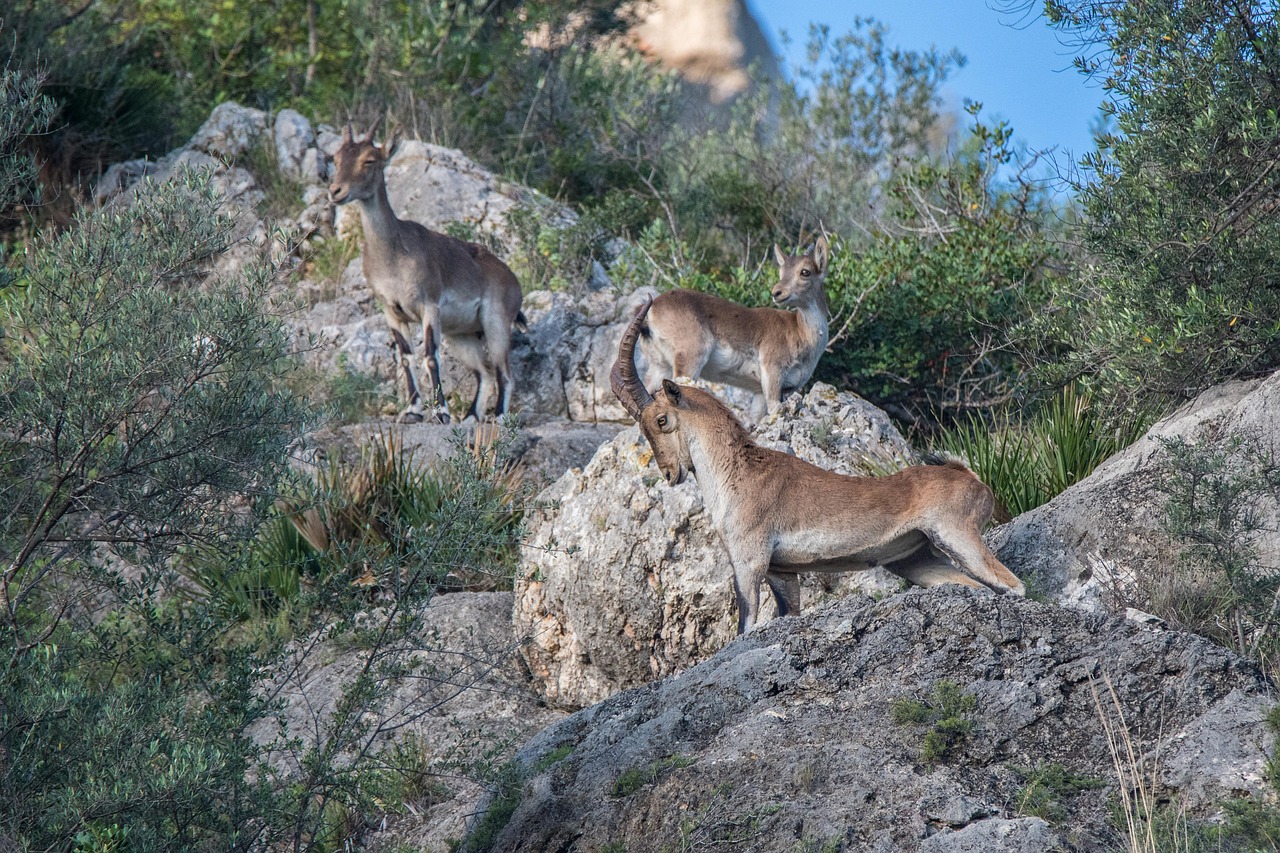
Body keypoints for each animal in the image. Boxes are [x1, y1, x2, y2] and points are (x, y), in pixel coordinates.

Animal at [329, 123, 526, 423]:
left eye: (369, 160)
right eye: (336, 158)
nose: (335, 191)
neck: (392, 257)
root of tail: (513, 281)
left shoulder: (429, 306)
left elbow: (430, 356)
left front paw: (442, 412)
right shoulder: (392, 312)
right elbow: (406, 357)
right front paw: (411, 411)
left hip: (496, 321)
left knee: (504, 372)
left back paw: (500, 417)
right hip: (461, 335)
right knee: (485, 372)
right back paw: (471, 417)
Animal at [612, 299, 1025, 634]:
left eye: (662, 420)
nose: (670, 474)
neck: (737, 472)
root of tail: (972, 478)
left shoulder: (749, 561)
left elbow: (746, 624)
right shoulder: (782, 572)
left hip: (958, 534)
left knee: (1013, 585)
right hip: (915, 559)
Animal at [638, 235, 830, 420]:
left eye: (805, 271)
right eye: (782, 272)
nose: (777, 292)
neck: (800, 333)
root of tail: (652, 311)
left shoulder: (763, 392)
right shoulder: (772, 373)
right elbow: (774, 408)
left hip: (659, 366)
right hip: (690, 358)